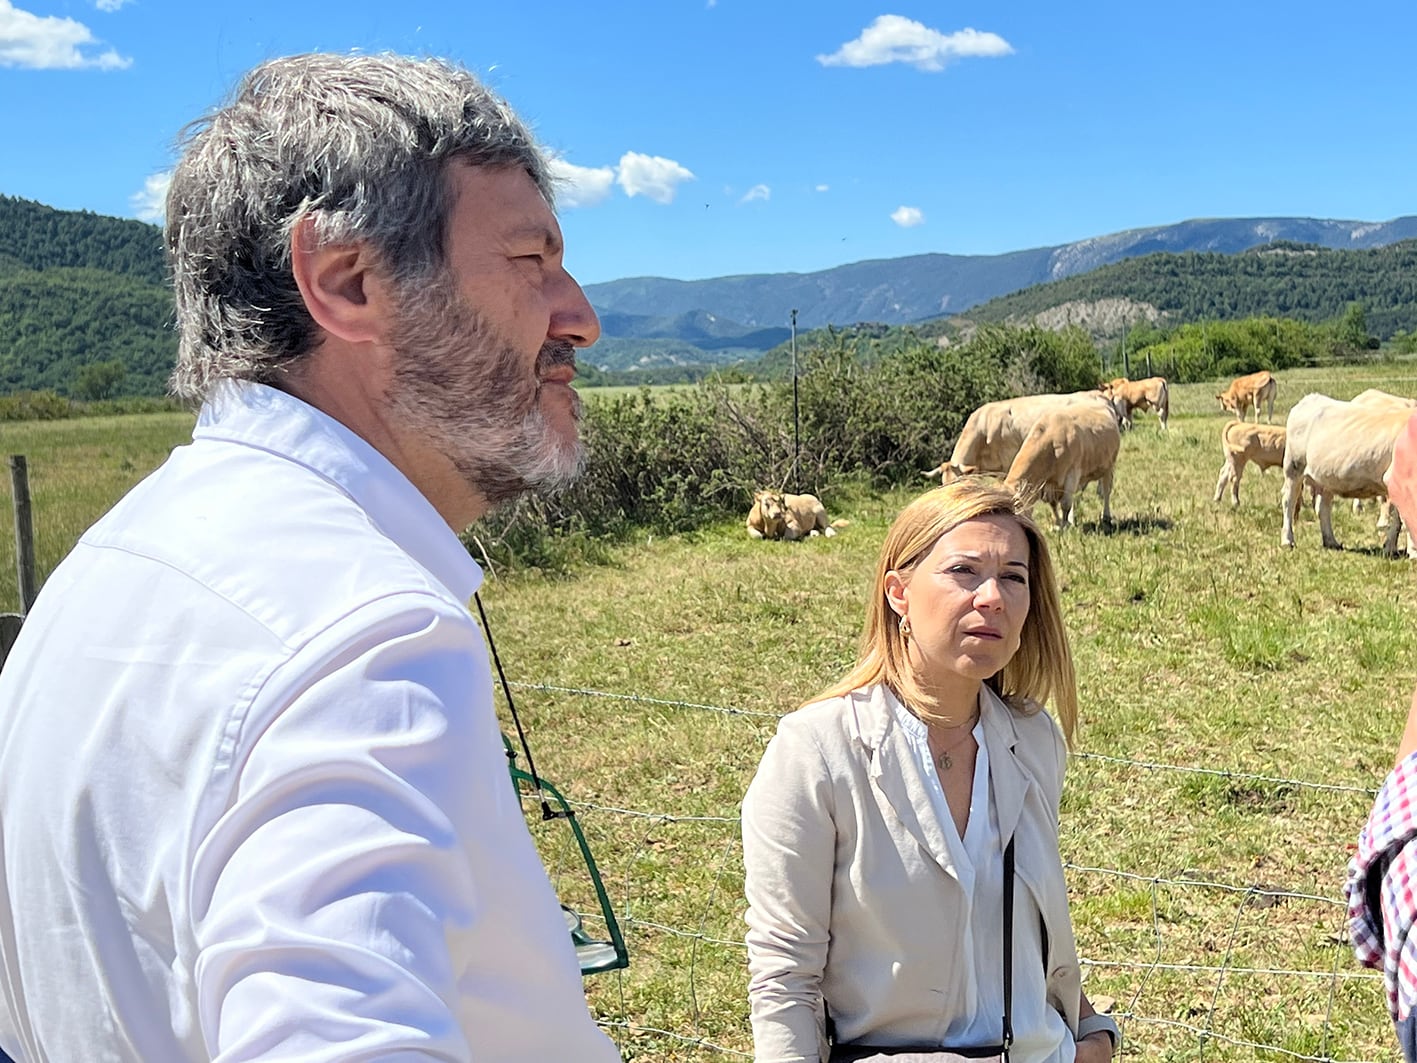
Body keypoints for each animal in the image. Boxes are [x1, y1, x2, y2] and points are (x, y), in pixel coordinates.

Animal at [1008, 402, 1116, 530]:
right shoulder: (1049, 483)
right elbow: (1053, 504)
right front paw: (1058, 524)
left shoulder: (1072, 473)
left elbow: (1065, 503)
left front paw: (1065, 525)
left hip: (1109, 466)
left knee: (1106, 491)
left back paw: (1106, 517)